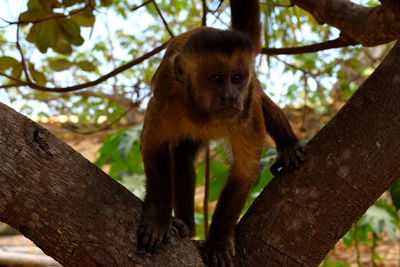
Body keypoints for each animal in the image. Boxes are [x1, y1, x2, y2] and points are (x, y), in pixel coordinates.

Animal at [138, 1, 306, 266]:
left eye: (236, 78)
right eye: (216, 79)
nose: (230, 96)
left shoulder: (247, 108)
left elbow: (245, 170)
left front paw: (218, 241)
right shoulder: (165, 97)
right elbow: (154, 146)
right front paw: (157, 217)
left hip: (251, 95)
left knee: (264, 102)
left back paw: (288, 146)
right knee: (182, 158)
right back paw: (185, 224)